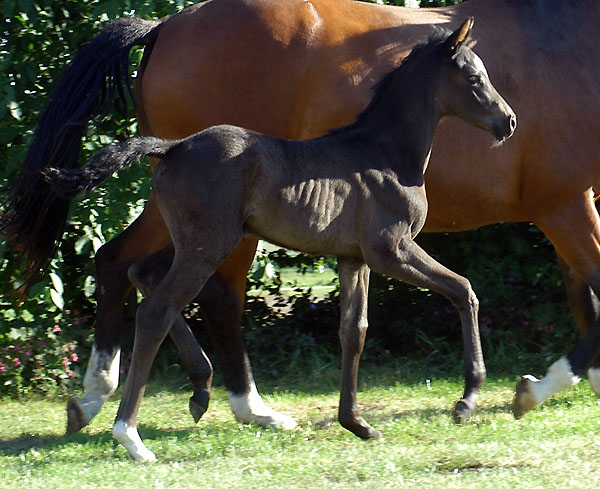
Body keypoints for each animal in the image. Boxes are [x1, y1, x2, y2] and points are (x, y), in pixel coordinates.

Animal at [43, 20, 516, 462]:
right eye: (474, 77)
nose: (508, 121)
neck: (385, 154)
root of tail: (173, 147)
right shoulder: (391, 251)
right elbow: (463, 290)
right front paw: (467, 399)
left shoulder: (354, 259)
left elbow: (354, 331)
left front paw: (356, 423)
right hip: (209, 245)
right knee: (157, 309)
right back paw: (131, 435)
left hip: (195, 241)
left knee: (142, 275)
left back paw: (198, 391)